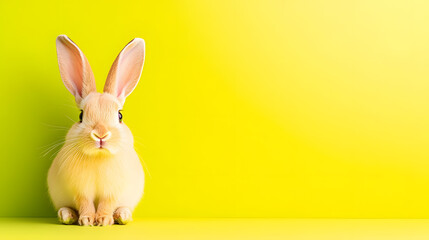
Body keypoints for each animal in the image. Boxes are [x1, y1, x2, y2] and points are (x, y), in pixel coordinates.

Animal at [47, 34, 145, 226]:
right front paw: (86, 220)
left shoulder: (112, 190)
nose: (101, 135)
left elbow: (107, 203)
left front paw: (104, 220)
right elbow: (84, 202)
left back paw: (122, 216)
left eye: (120, 115)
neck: (99, 157)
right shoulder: (80, 190)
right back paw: (67, 215)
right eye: (81, 115)